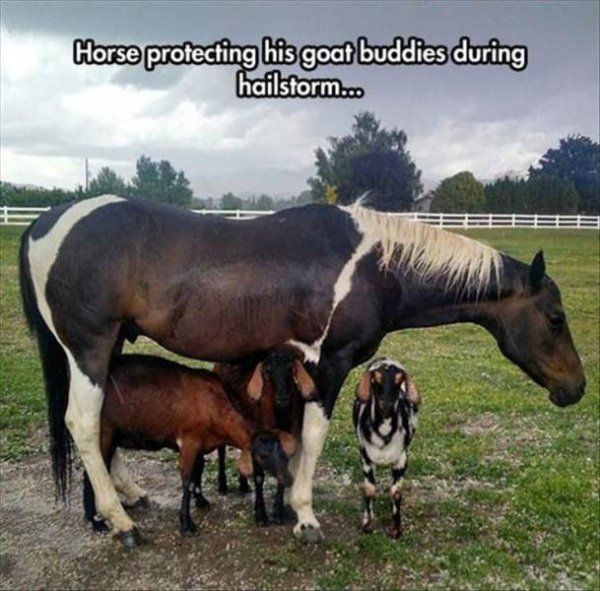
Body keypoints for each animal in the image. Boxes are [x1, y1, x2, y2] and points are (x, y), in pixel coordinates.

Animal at [83, 354, 294, 544]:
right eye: (263, 456)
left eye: (285, 455)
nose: (287, 479)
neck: (213, 404)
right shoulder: (189, 442)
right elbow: (186, 482)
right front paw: (186, 524)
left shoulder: (201, 445)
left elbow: (196, 475)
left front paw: (201, 502)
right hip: (103, 433)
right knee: (91, 469)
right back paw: (96, 520)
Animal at [211, 350, 316, 524]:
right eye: (268, 372)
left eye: (291, 369)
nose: (282, 399)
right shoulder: (259, 439)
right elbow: (259, 477)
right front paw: (260, 514)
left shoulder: (289, 439)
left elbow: (282, 472)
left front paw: (278, 512)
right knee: (221, 450)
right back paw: (222, 485)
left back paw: (243, 484)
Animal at [352, 358, 422, 540]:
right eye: (375, 379)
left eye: (399, 380)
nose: (386, 405)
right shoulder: (365, 457)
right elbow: (369, 489)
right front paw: (367, 524)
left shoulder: (402, 458)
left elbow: (395, 492)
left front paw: (396, 530)